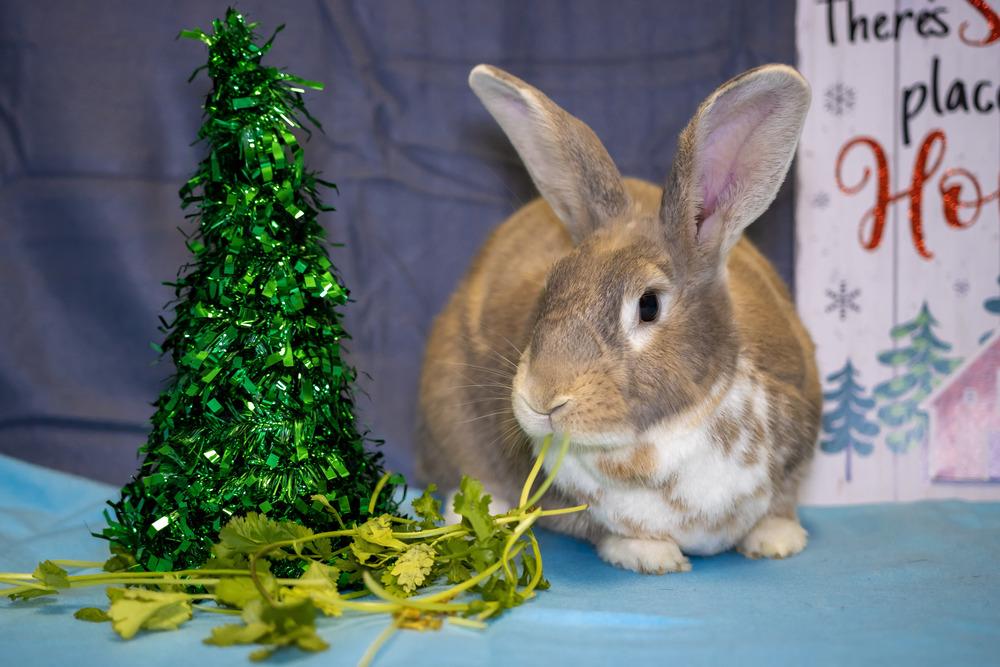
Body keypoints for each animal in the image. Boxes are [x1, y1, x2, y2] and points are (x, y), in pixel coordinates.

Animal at [415, 63, 820, 575]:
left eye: (648, 305)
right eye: (550, 283)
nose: (541, 398)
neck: (664, 434)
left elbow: (780, 507)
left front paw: (777, 541)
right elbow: (620, 533)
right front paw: (652, 558)